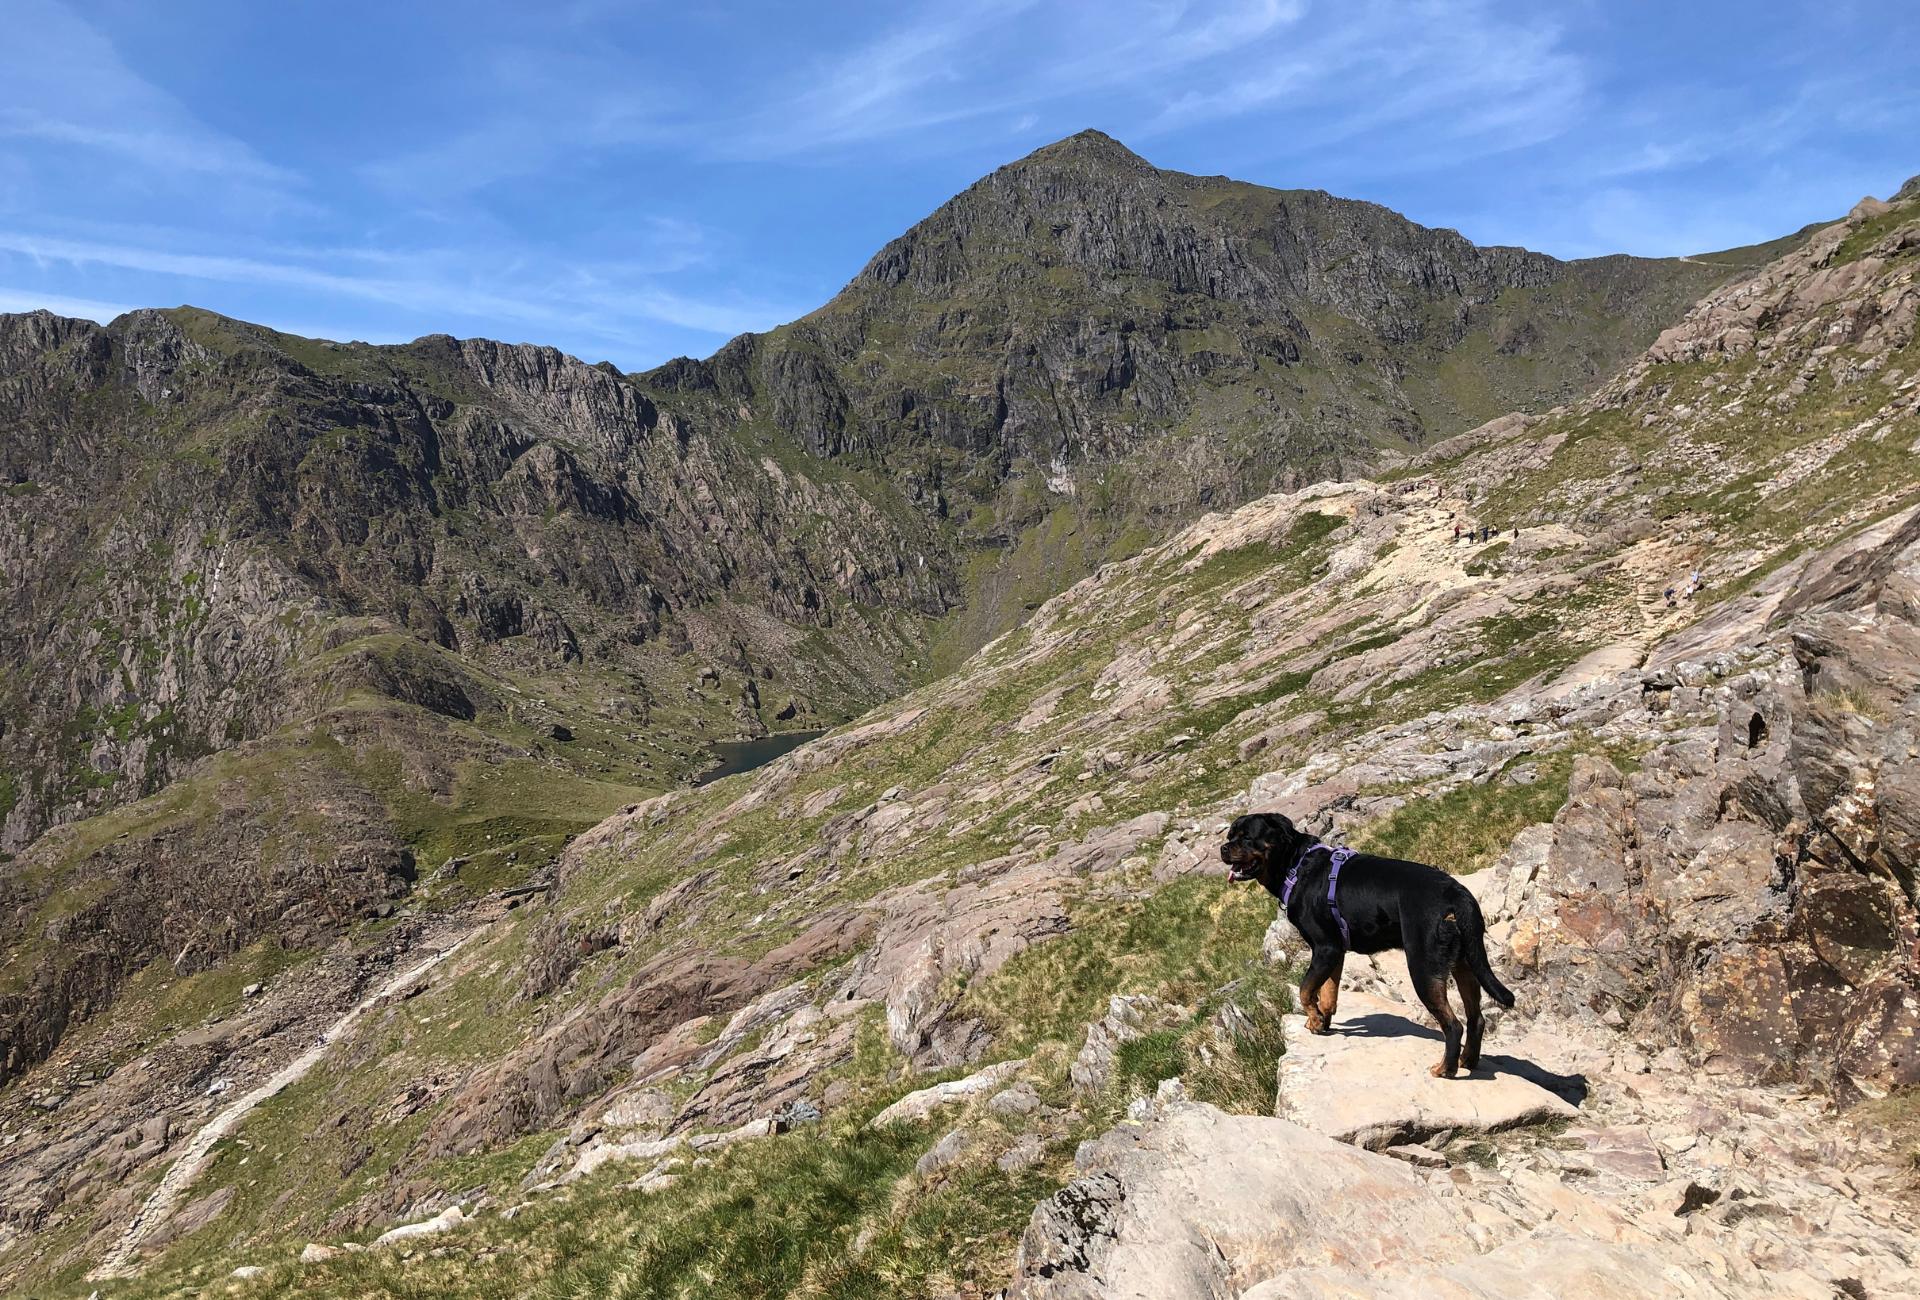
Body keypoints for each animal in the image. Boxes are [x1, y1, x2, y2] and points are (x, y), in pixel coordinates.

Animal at [1228, 810, 1512, 1075]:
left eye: (1246, 837)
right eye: (1230, 836)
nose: (1223, 848)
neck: (1294, 866)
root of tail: (1456, 892)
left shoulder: (1325, 948)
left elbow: (1306, 989)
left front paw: (1315, 1020)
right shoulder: (1335, 952)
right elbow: (1328, 992)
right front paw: (1321, 1021)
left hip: (1423, 965)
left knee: (1453, 1025)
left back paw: (1445, 1069)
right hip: (1465, 962)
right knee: (1476, 1019)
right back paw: (1468, 1060)